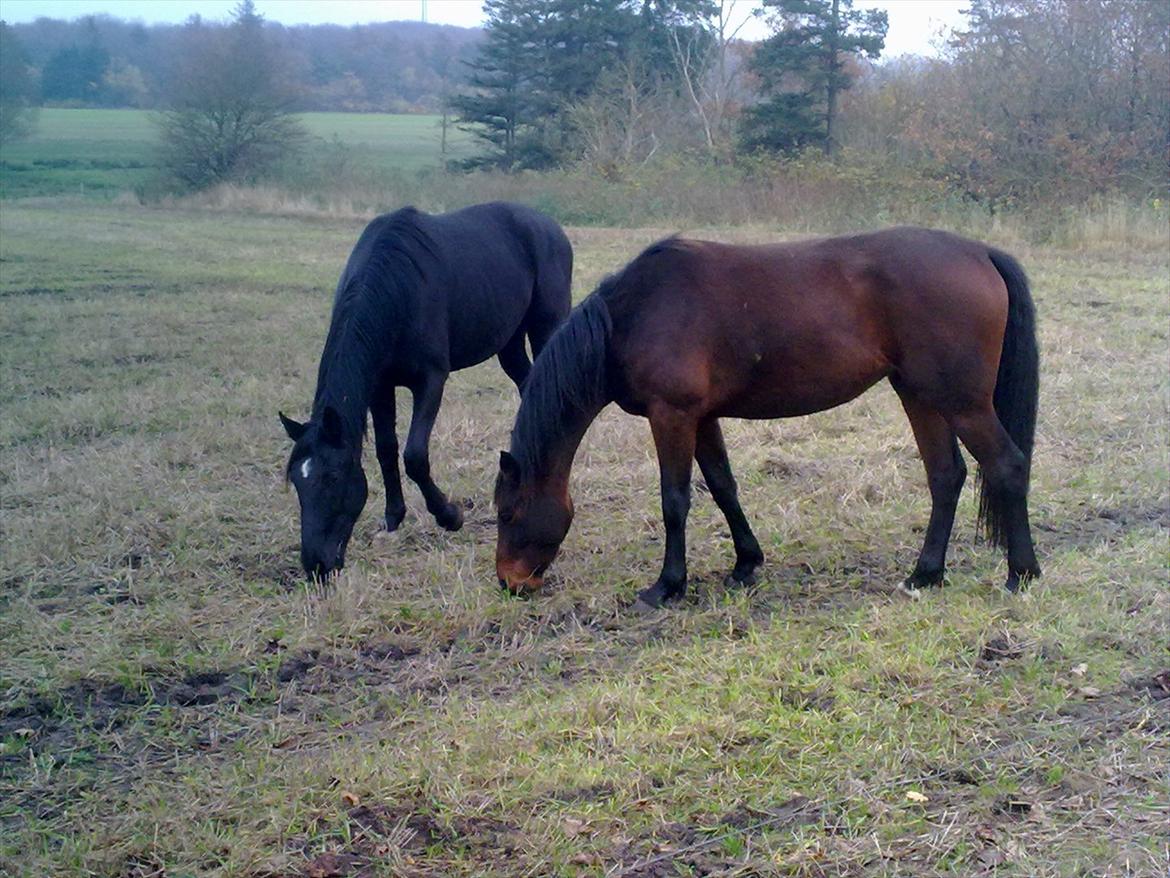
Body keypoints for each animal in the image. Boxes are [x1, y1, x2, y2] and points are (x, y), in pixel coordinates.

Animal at [284, 202, 575, 580]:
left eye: (333, 478)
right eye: (296, 480)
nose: (316, 565)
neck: (395, 286)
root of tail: (550, 226)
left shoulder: (431, 379)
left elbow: (414, 456)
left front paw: (449, 516)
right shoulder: (380, 385)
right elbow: (386, 450)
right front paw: (393, 517)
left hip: (546, 324)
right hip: (509, 341)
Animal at [493, 228, 1043, 613]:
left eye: (507, 513)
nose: (509, 583)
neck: (633, 314)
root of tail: (981, 253)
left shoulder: (671, 415)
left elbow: (675, 501)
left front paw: (667, 585)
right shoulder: (702, 417)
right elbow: (723, 487)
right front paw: (745, 563)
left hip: (962, 401)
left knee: (1007, 466)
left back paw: (1021, 575)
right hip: (920, 394)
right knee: (946, 476)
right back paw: (925, 575)